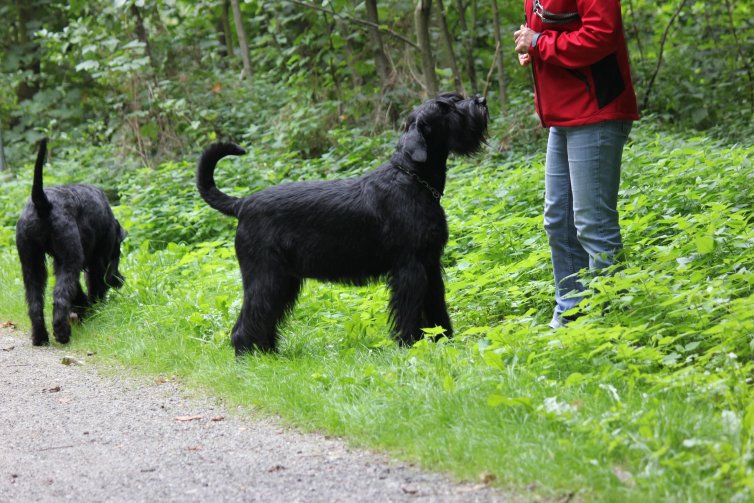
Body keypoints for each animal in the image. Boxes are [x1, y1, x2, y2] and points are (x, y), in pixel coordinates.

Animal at [15, 140, 126, 348]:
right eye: (118, 253)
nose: (120, 280)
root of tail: (43, 204)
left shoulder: (58, 261)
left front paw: (84, 309)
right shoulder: (97, 260)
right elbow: (94, 285)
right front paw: (95, 308)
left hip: (31, 262)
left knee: (35, 301)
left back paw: (40, 337)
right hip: (70, 259)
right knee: (60, 296)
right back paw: (62, 333)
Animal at [194, 93, 488, 354]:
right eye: (446, 108)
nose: (481, 100)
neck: (413, 178)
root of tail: (242, 204)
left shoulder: (431, 265)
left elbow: (437, 307)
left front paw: (444, 341)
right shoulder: (410, 268)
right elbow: (409, 312)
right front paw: (410, 345)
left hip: (283, 280)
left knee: (265, 317)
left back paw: (268, 354)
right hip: (265, 276)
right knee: (248, 321)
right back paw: (248, 357)